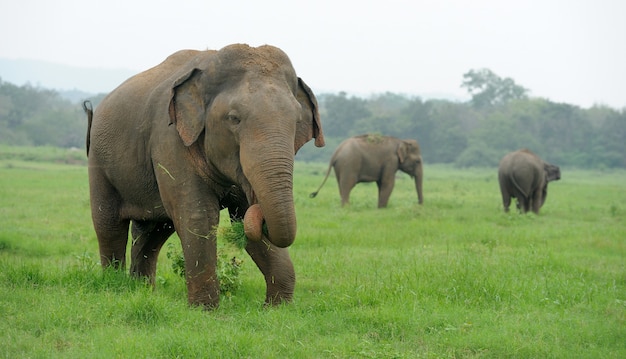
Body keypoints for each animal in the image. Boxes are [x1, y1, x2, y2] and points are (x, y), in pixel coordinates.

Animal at [82, 44, 324, 310]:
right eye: (233, 118)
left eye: (297, 121)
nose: (260, 213)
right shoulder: (170, 140)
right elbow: (198, 216)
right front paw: (205, 311)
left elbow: (242, 219)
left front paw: (276, 309)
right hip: (99, 161)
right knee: (109, 225)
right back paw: (114, 286)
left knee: (152, 232)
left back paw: (141, 290)